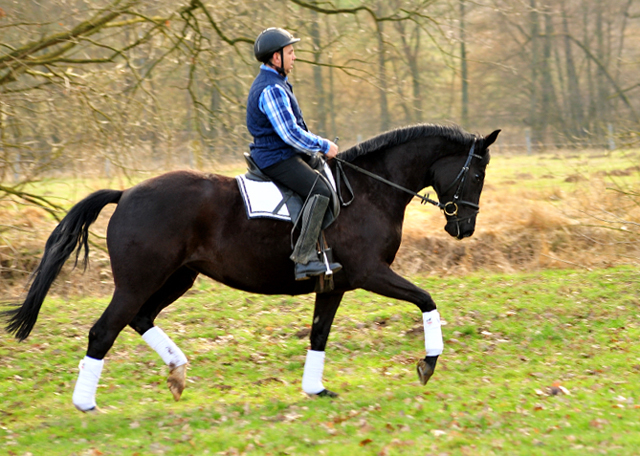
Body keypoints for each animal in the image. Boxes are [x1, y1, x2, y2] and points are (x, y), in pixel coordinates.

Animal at [3, 123, 500, 412]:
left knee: (140, 319)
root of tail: (126, 194)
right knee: (103, 331)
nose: (465, 228)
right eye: (477, 174)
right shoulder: (369, 273)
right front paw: (428, 363)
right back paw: (86, 404)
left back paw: (177, 372)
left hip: (177, 278)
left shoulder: (333, 284)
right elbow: (426, 300)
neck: (370, 191)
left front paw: (315, 389)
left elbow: (319, 334)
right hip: (138, 281)